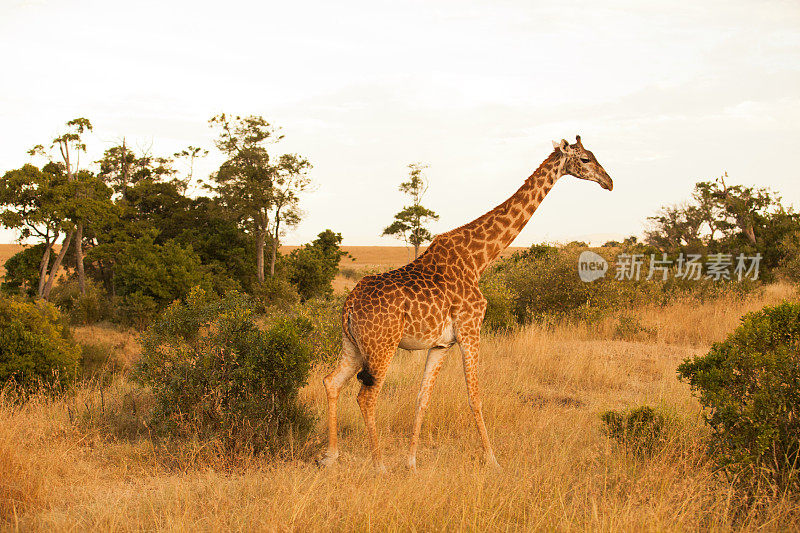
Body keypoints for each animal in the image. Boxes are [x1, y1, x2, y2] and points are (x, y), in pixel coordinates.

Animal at [318, 134, 612, 470]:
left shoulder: (441, 344)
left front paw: (412, 463)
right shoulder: (471, 329)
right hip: (382, 345)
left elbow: (422, 398)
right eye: (586, 159)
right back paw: (378, 465)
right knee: (366, 396)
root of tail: (348, 306)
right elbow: (475, 396)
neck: (478, 259)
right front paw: (493, 460)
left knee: (331, 382)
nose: (609, 182)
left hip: (352, 344)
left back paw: (331, 457)